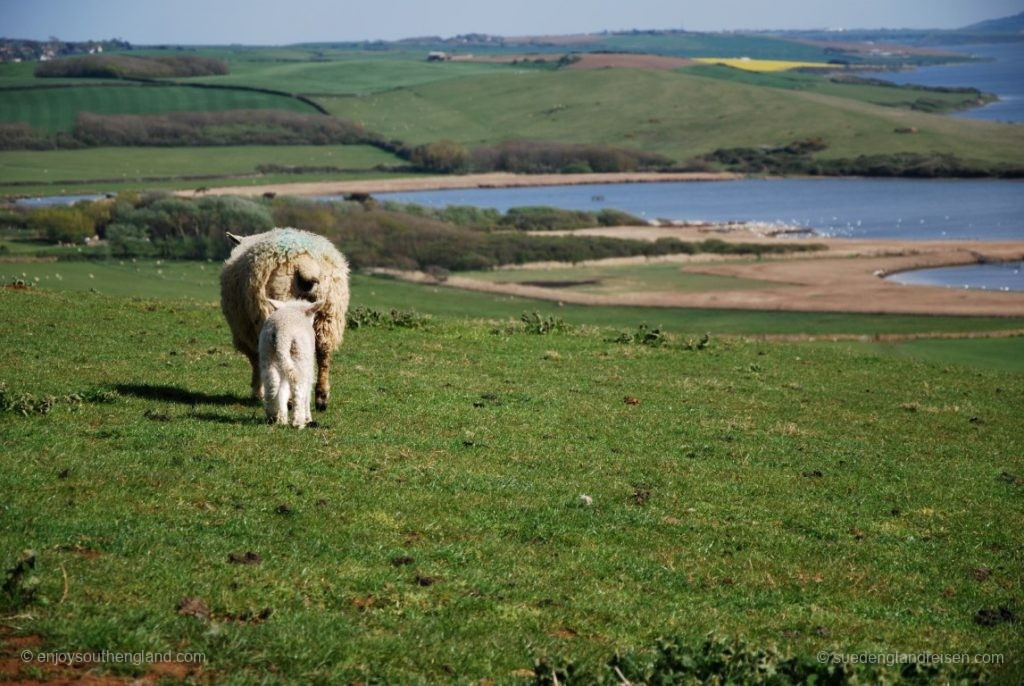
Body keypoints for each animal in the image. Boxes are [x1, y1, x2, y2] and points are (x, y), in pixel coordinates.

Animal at [220, 228, 352, 411]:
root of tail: (306, 267)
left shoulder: (247, 334)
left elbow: (256, 362)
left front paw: (257, 392)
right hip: (329, 313)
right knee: (324, 353)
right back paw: (321, 398)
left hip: (278, 309)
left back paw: (288, 399)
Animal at [258, 298, 321, 427]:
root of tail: (282, 332)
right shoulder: (308, 366)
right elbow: (307, 392)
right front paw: (308, 418)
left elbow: (283, 389)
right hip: (300, 353)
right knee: (298, 385)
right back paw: (298, 421)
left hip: (267, 351)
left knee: (272, 382)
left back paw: (274, 416)